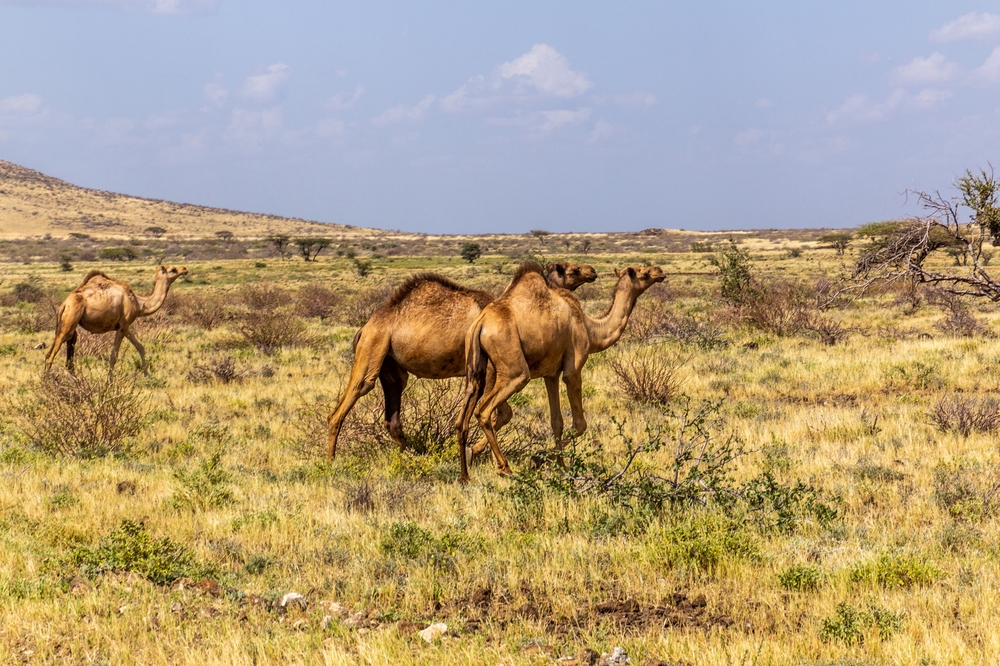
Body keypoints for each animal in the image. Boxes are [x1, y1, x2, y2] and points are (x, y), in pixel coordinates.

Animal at [43, 266, 188, 378]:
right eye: (173, 269)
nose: (185, 269)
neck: (139, 303)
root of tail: (64, 305)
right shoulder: (123, 325)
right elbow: (114, 355)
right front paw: (109, 381)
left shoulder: (124, 326)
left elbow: (140, 347)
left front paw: (147, 375)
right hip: (70, 319)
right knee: (51, 354)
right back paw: (46, 383)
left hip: (71, 323)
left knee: (69, 352)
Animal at [328, 262, 596, 460]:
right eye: (570, 270)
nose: (591, 271)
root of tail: (365, 327)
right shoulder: (490, 369)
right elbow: (502, 413)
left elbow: (500, 413)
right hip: (372, 347)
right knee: (351, 397)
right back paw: (330, 461)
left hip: (390, 366)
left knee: (392, 412)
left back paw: (414, 455)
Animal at [458, 260, 664, 482]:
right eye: (644, 272)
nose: (660, 272)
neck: (592, 329)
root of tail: (480, 324)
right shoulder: (573, 370)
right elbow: (580, 424)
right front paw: (539, 459)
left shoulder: (551, 373)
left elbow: (556, 421)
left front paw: (560, 466)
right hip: (514, 370)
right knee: (485, 410)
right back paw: (504, 468)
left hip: (476, 369)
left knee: (464, 416)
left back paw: (466, 472)